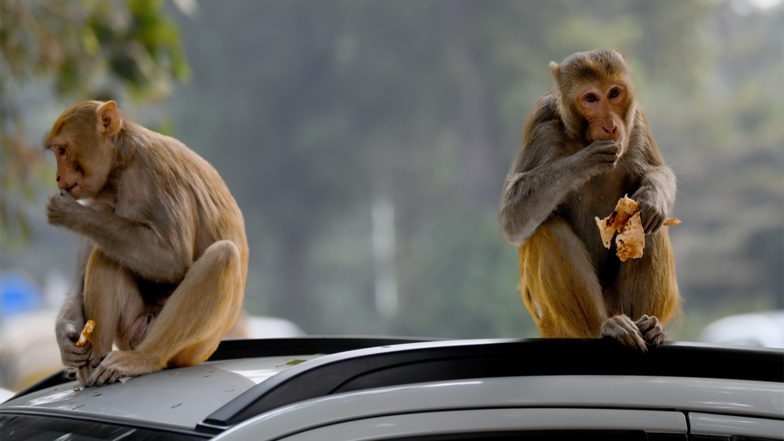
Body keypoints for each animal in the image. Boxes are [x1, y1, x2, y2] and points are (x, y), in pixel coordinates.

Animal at [45, 100, 248, 386]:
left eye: (62, 150)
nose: (58, 177)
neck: (121, 167)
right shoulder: (98, 200)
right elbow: (81, 274)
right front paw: (66, 336)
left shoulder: (154, 173)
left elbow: (173, 259)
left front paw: (70, 213)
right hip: (131, 329)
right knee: (105, 254)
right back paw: (92, 366)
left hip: (190, 350)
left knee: (223, 256)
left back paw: (144, 358)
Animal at [499, 49, 680, 351]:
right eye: (591, 98)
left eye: (614, 93)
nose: (610, 126)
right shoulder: (541, 124)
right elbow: (513, 216)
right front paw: (586, 160)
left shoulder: (636, 120)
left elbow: (657, 172)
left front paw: (652, 197)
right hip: (554, 321)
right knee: (548, 228)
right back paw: (603, 328)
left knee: (647, 225)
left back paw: (648, 325)